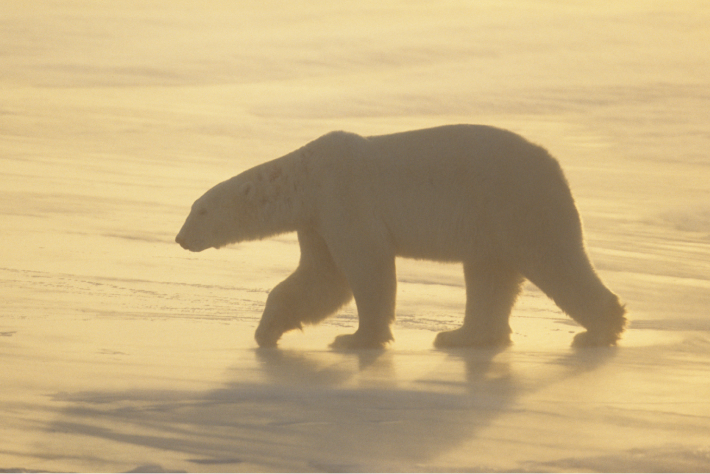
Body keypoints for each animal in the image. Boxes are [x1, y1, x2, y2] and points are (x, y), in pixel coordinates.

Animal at [176, 124, 627, 349]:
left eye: (200, 210)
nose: (180, 238)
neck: (307, 177)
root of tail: (555, 166)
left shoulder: (345, 198)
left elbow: (364, 269)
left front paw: (355, 338)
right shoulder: (318, 220)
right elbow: (320, 278)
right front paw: (267, 330)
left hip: (516, 204)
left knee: (555, 261)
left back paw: (600, 329)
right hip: (489, 223)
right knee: (490, 276)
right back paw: (461, 336)